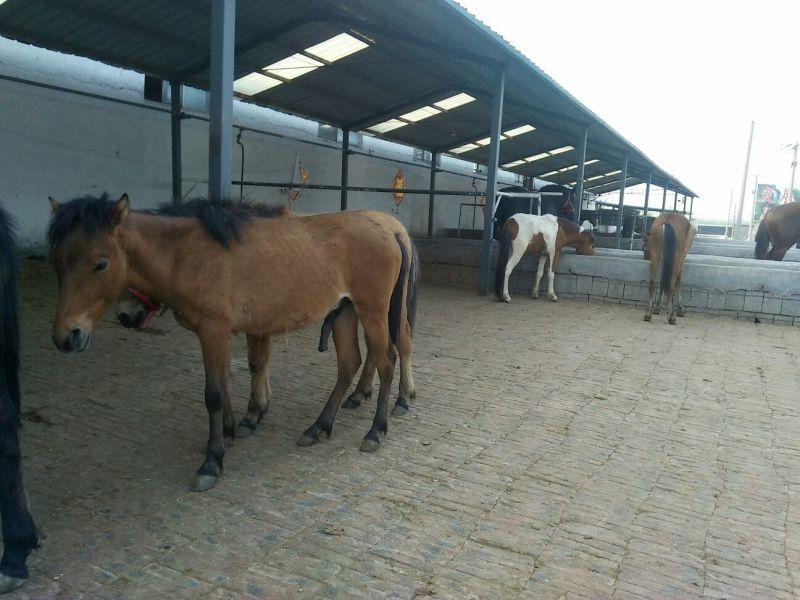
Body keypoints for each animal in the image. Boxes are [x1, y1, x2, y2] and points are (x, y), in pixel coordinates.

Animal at [48, 194, 418, 492]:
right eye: (56, 261)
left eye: (100, 263)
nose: (67, 336)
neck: (188, 253)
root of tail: (388, 230)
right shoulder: (224, 333)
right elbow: (229, 381)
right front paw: (231, 429)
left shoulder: (214, 330)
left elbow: (213, 392)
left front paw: (212, 461)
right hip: (344, 313)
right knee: (350, 364)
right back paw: (318, 427)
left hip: (373, 311)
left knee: (387, 359)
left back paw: (376, 429)